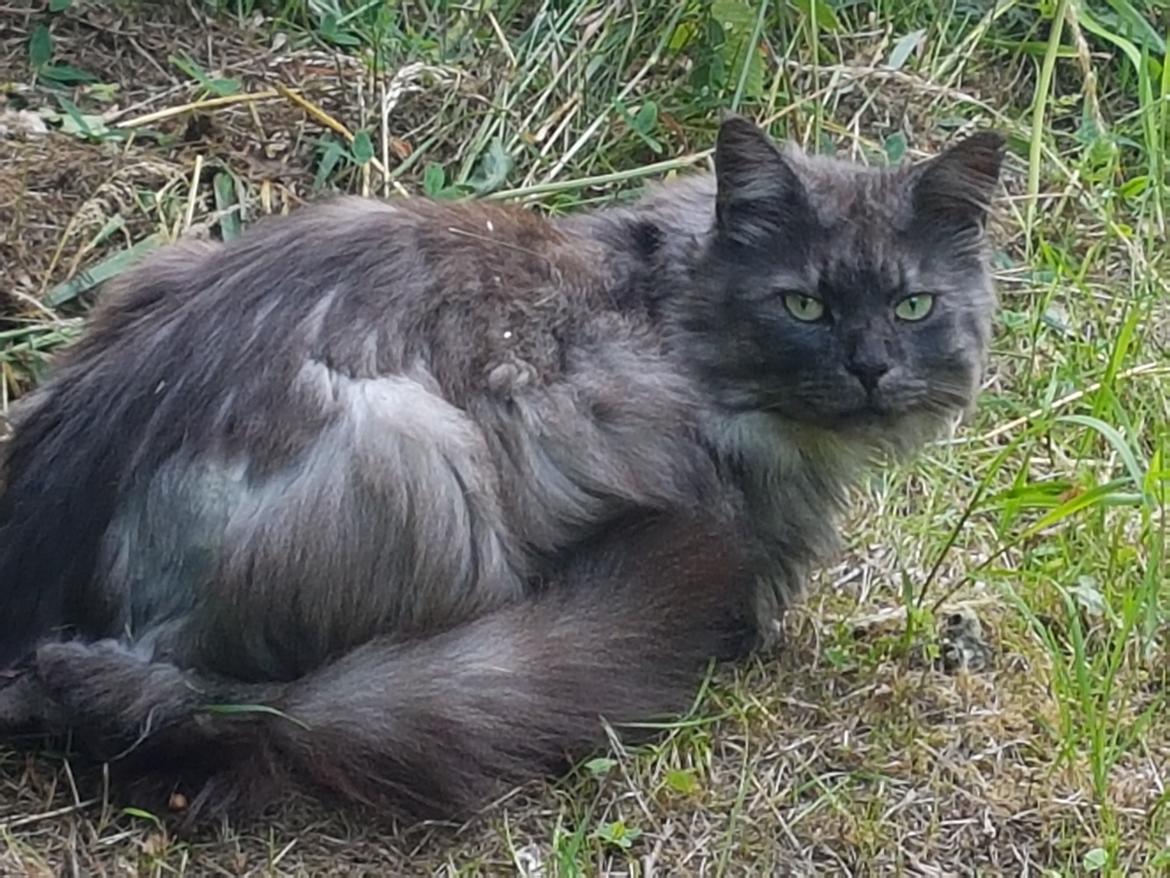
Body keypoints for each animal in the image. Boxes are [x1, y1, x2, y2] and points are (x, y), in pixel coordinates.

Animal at [0, 115, 1006, 824]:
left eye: (913, 306)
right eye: (803, 306)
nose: (870, 367)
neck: (672, 302)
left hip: (170, 268)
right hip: (415, 450)